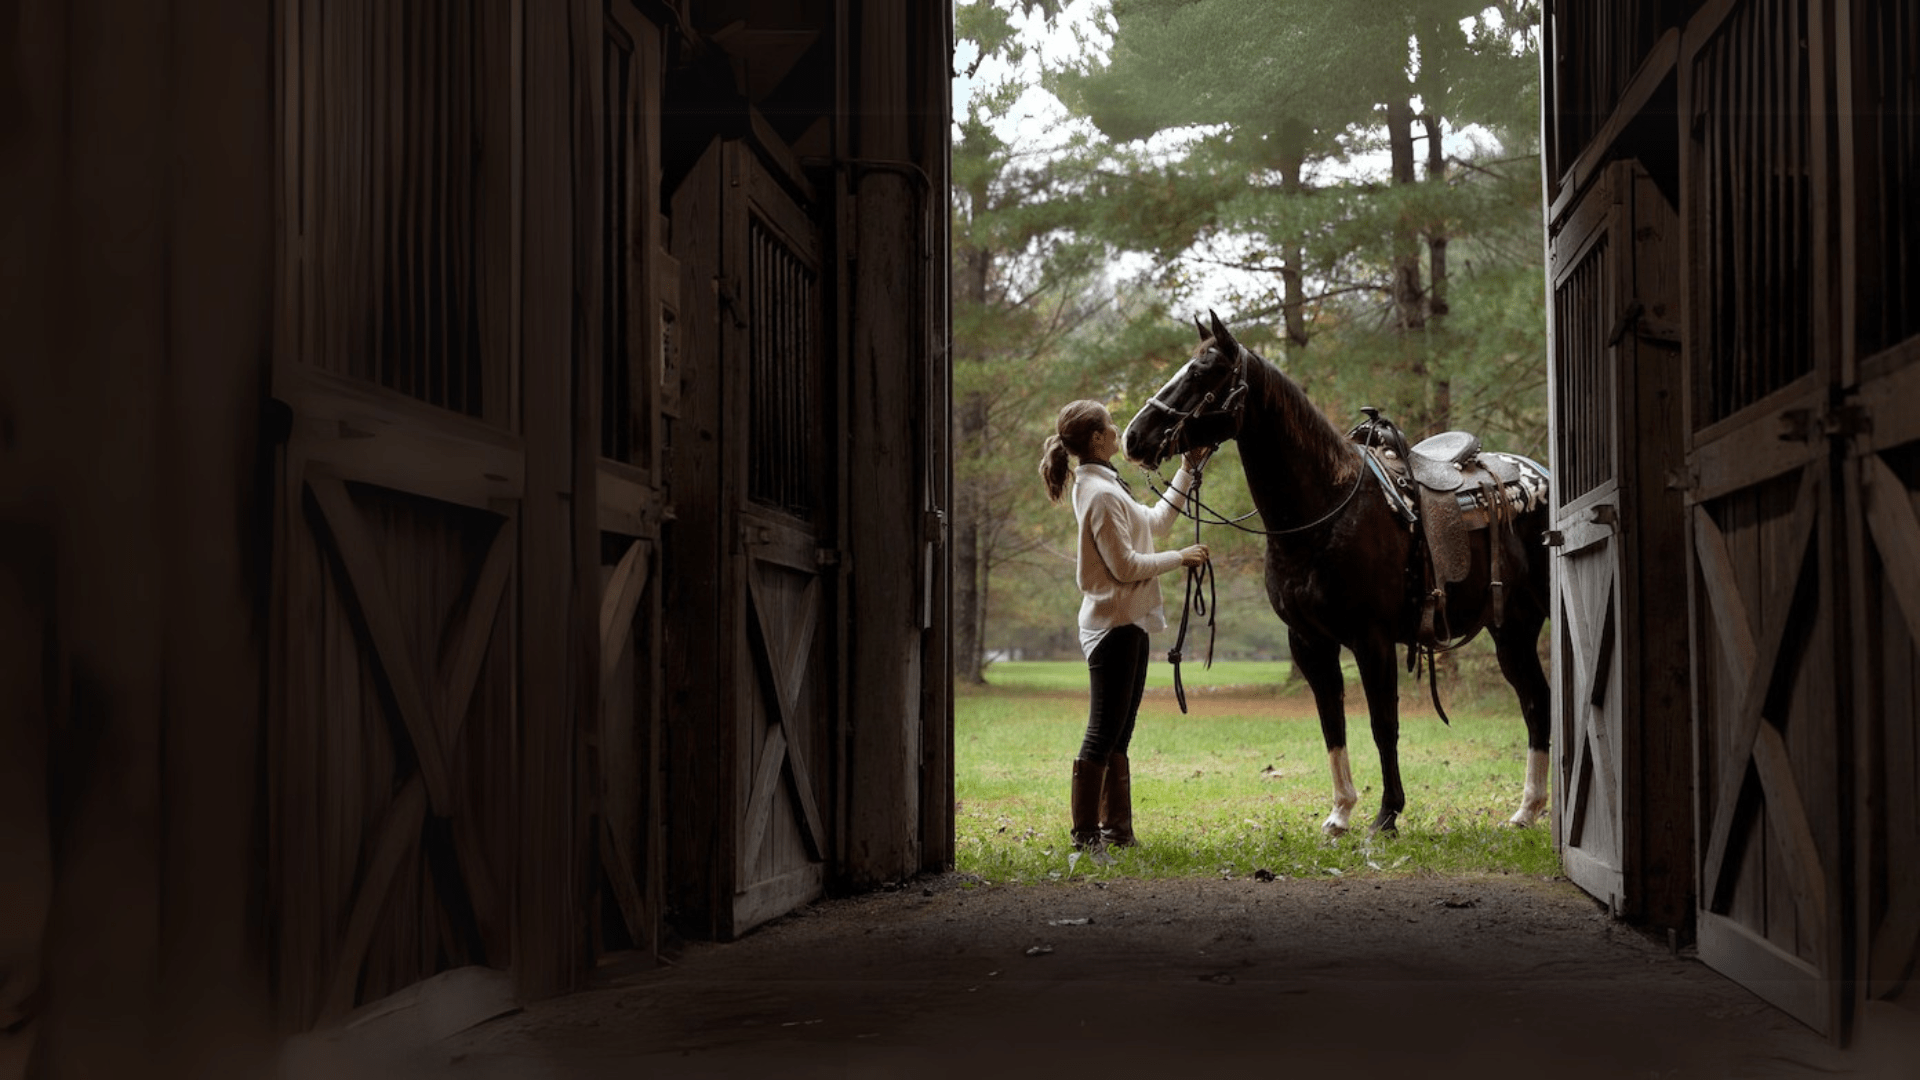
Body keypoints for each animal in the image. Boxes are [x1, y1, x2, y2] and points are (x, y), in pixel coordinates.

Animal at [1121, 311, 1551, 834]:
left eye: (1203, 372)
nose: (1133, 437)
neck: (1323, 512)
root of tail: (1538, 475)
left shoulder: (1373, 639)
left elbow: (1383, 724)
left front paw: (1387, 815)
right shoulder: (1309, 642)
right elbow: (1332, 722)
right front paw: (1341, 811)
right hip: (1511, 628)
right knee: (1535, 702)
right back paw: (1527, 810)